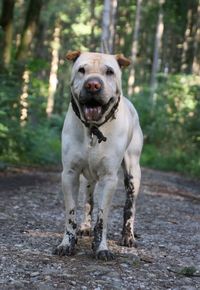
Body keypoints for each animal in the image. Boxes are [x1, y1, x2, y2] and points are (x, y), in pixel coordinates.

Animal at [53, 51, 142, 262]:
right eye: (81, 70)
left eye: (109, 71)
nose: (93, 85)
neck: (93, 129)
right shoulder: (69, 174)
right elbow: (71, 213)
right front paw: (67, 243)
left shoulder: (109, 179)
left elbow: (103, 218)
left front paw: (101, 247)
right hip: (88, 179)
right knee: (88, 201)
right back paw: (85, 226)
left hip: (133, 173)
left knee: (130, 206)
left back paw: (128, 236)